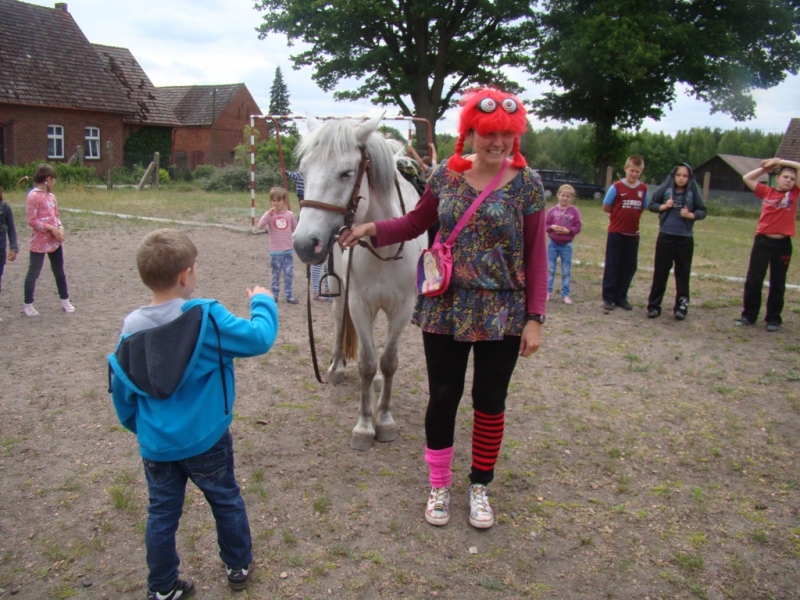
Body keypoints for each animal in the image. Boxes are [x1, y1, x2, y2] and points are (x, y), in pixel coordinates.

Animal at [294, 115, 428, 450]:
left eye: (346, 173)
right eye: (304, 170)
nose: (304, 244)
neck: (386, 245)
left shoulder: (402, 308)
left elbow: (388, 362)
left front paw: (385, 421)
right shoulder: (358, 304)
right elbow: (367, 363)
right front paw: (365, 426)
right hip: (339, 293)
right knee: (337, 321)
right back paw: (337, 367)